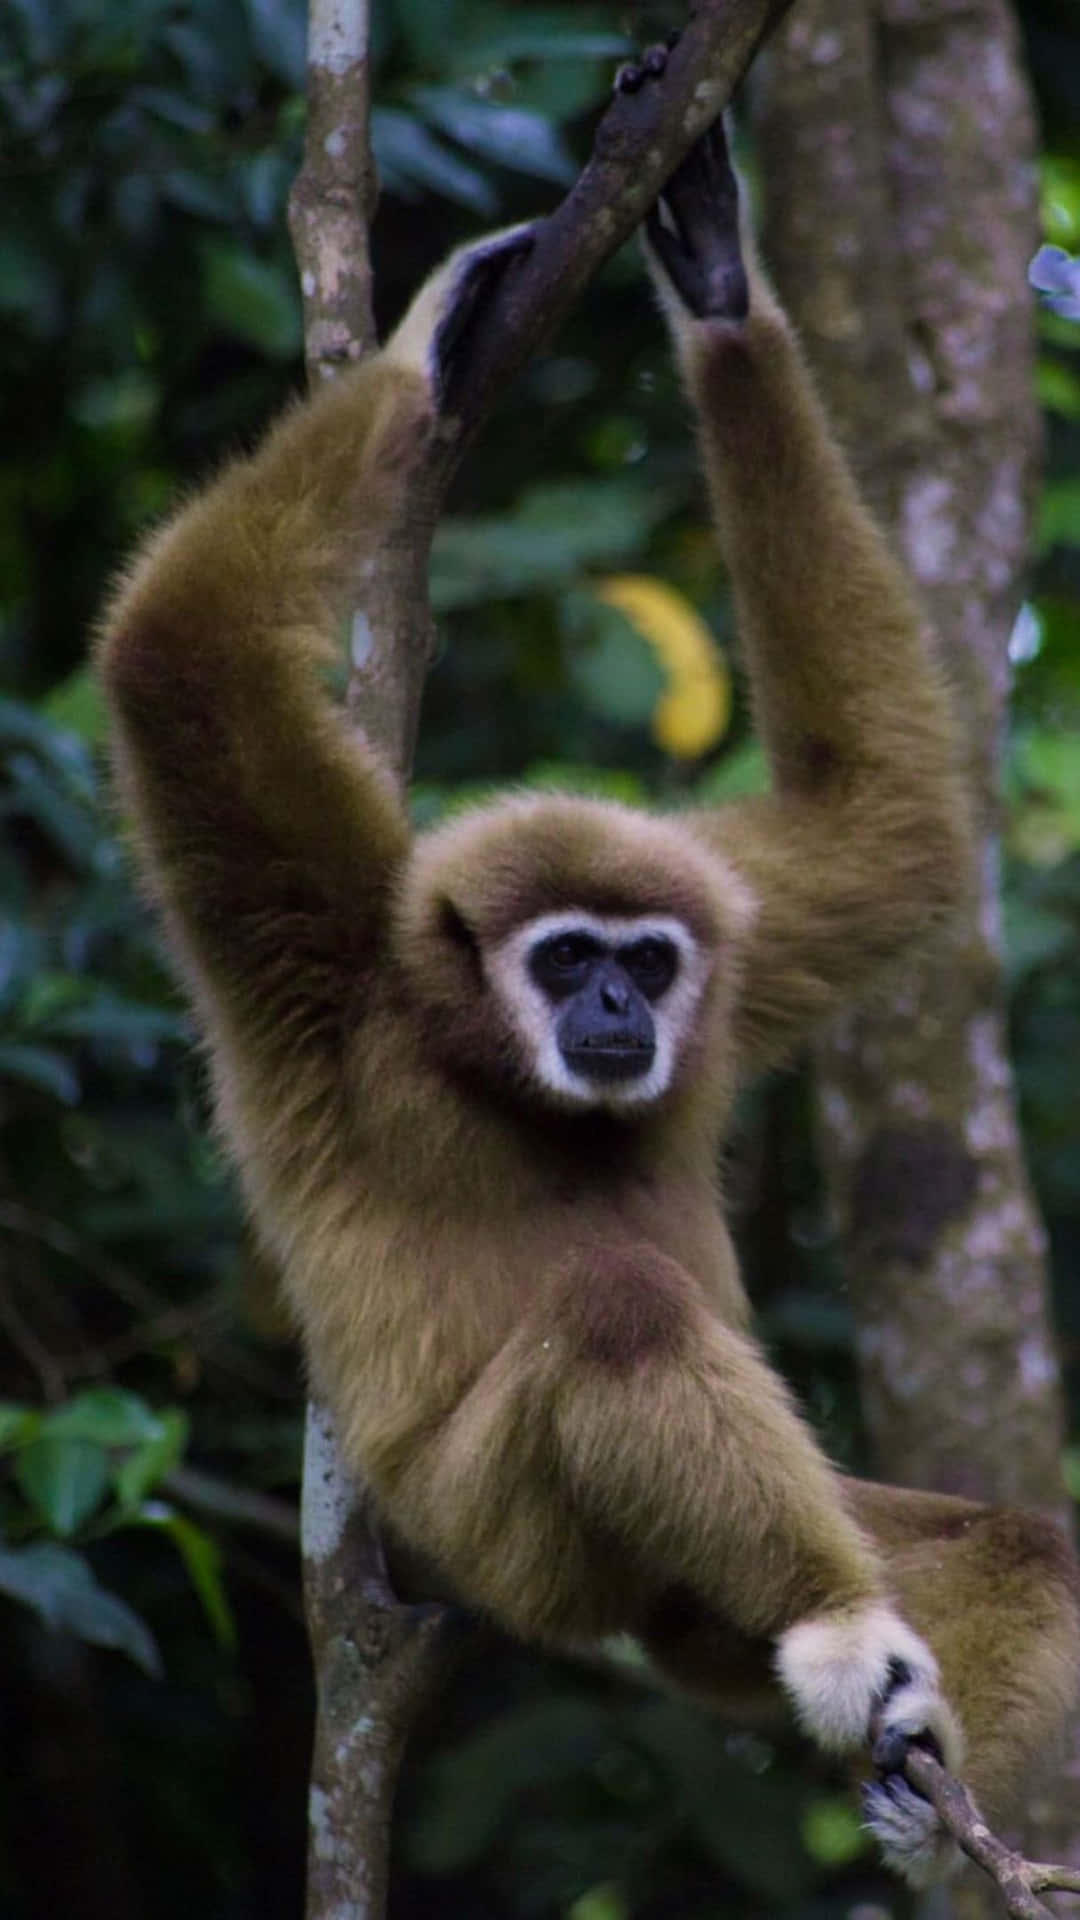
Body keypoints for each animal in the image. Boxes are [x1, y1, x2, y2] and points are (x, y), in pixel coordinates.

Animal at [97, 87, 1078, 1891]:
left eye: (647, 961)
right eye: (566, 958)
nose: (617, 1017)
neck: (482, 1057)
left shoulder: (736, 946)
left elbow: (891, 828)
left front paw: (717, 283)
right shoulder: (331, 965)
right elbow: (171, 656)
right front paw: (427, 344)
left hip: (715, 1592)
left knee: (1016, 1546)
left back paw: (928, 1791)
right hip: (523, 1541)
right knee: (618, 1325)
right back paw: (849, 1646)